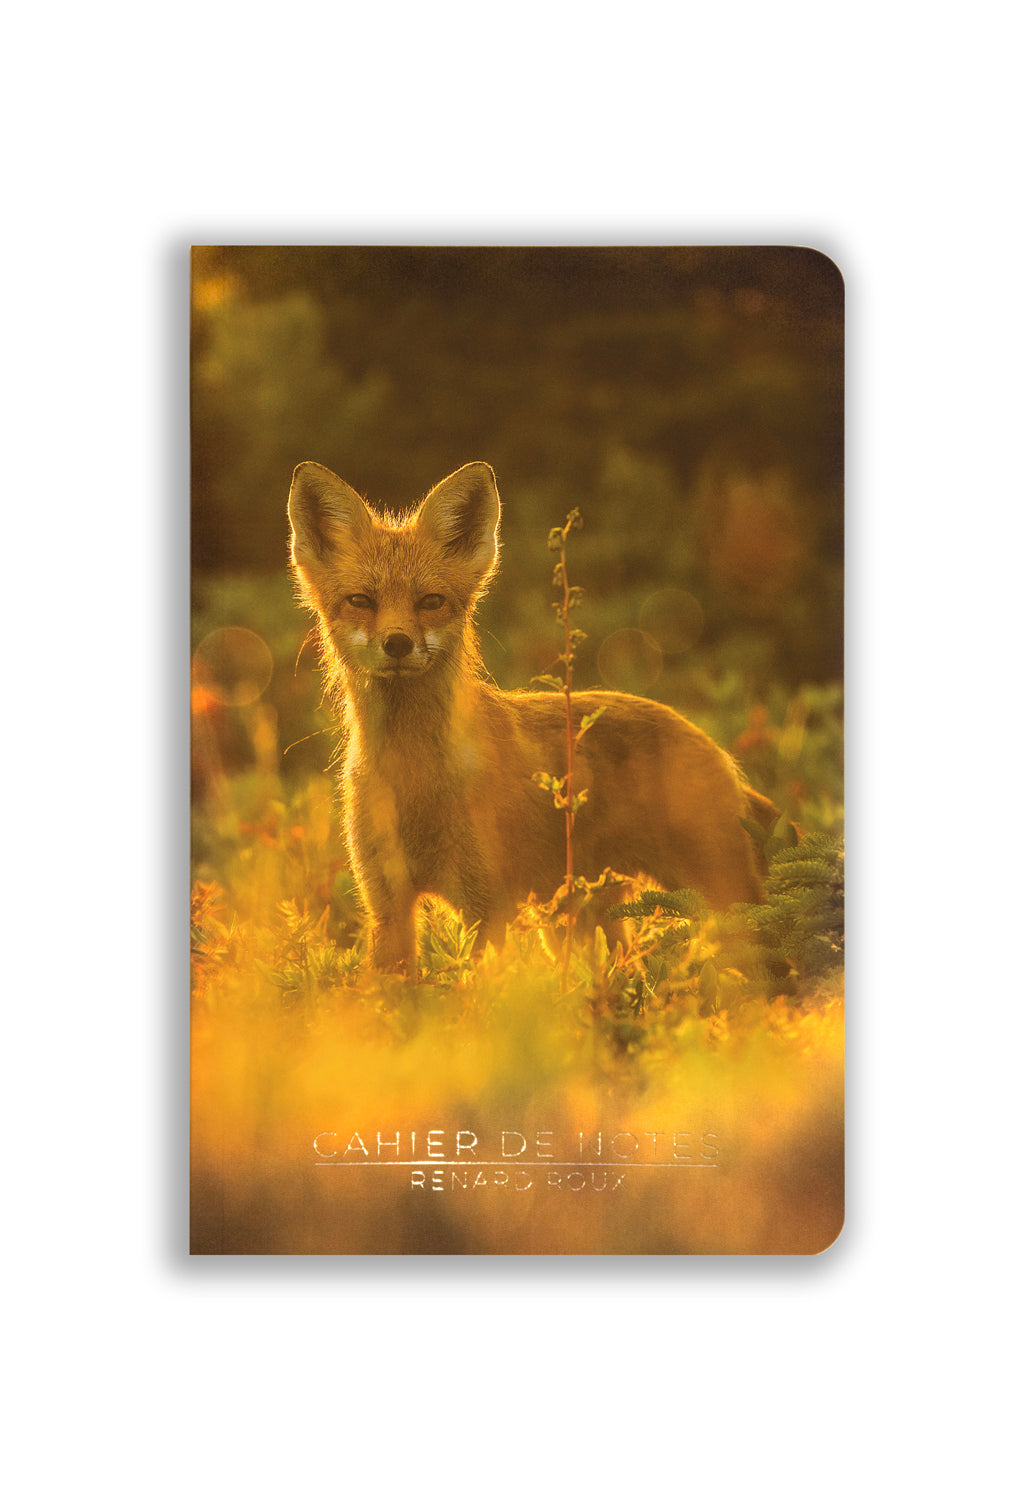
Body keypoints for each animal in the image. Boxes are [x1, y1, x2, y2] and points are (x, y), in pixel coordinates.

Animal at [288, 460, 783, 974]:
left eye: (431, 601)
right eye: (361, 601)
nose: (398, 643)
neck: (415, 779)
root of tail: (717, 749)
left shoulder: (486, 908)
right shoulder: (387, 907)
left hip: (723, 908)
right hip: (579, 922)